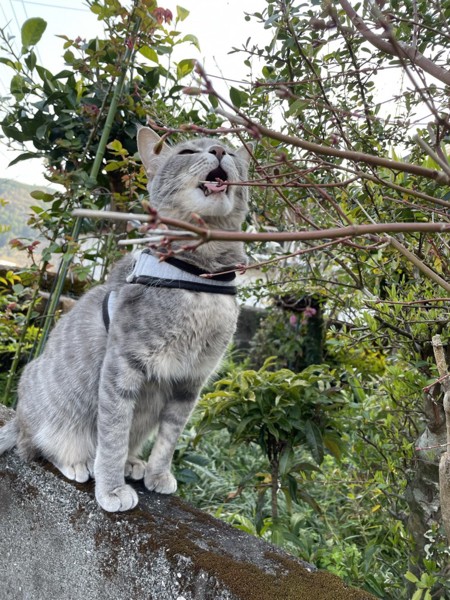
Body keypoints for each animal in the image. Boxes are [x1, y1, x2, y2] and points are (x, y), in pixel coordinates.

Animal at [0, 126, 250, 510]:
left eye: (233, 155)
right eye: (187, 152)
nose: (220, 150)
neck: (196, 277)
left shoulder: (191, 382)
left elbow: (168, 439)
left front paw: (157, 474)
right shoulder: (122, 368)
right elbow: (113, 438)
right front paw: (111, 489)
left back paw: (134, 462)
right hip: (48, 407)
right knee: (37, 447)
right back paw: (77, 461)